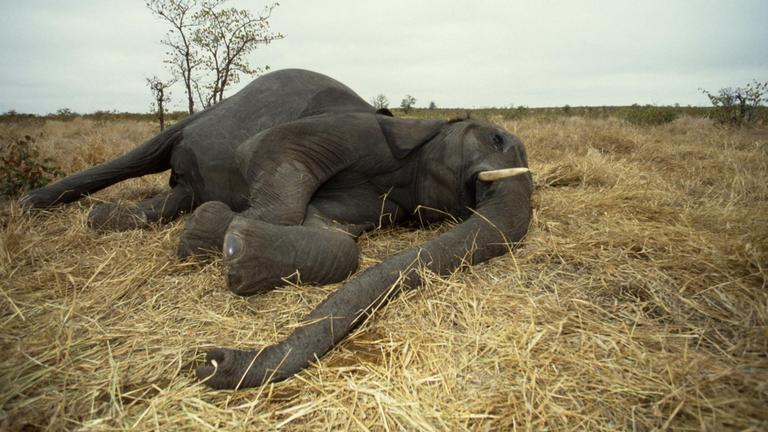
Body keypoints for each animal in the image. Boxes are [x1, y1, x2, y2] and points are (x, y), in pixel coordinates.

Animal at [21, 69, 532, 390]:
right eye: (496, 139)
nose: (211, 359)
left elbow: (338, 242)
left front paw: (222, 243)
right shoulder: (360, 131)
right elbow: (266, 148)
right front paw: (227, 238)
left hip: (183, 182)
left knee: (174, 195)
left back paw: (115, 221)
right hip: (197, 119)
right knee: (143, 154)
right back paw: (30, 205)